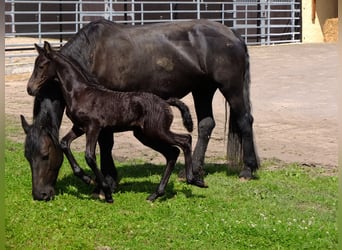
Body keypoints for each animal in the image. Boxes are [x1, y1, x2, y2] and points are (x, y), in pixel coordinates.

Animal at [25, 18, 258, 199]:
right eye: (27, 156)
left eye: (45, 155)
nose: (40, 195)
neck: (93, 54)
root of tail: (234, 35)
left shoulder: (105, 111)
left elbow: (105, 144)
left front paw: (106, 183)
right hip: (202, 89)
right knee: (205, 125)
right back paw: (191, 172)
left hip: (230, 88)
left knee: (244, 120)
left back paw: (247, 169)